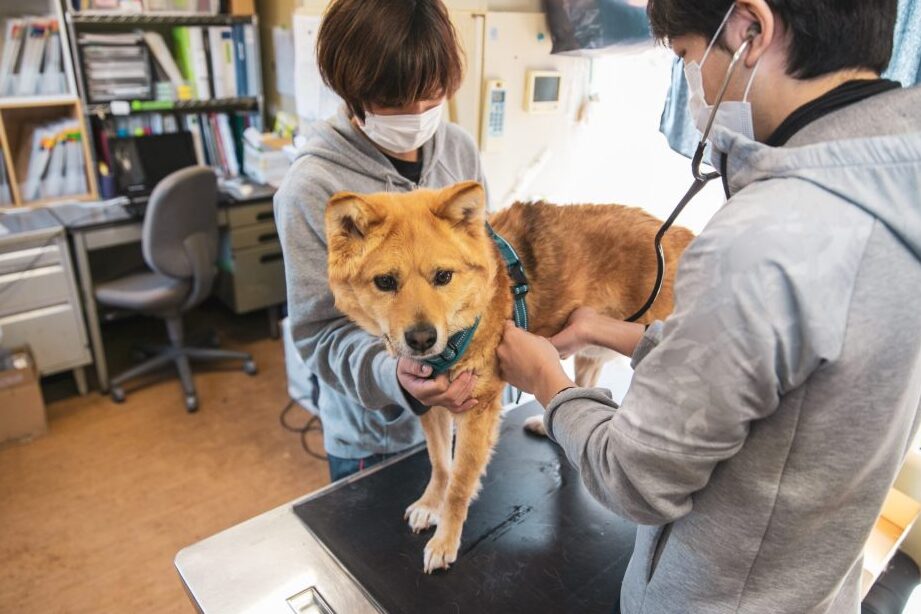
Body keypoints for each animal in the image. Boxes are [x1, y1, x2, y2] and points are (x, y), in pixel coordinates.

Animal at [324, 180, 693, 573]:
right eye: (385, 282)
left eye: (443, 276)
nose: (422, 339)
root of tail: (680, 236)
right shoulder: (431, 403)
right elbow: (440, 465)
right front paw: (430, 504)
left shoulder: (478, 413)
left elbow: (459, 484)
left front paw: (445, 540)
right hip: (588, 355)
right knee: (583, 389)